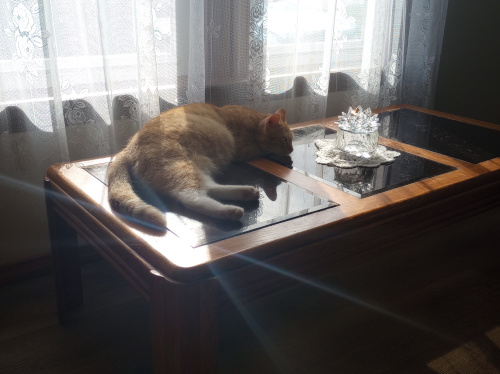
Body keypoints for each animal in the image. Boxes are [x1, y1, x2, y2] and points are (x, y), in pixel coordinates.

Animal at [106, 102, 292, 228]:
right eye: (284, 139)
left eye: (290, 139)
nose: (291, 149)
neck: (254, 123)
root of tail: (128, 148)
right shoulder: (245, 149)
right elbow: (264, 151)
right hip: (180, 166)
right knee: (190, 197)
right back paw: (231, 211)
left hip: (196, 167)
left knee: (208, 187)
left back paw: (247, 192)